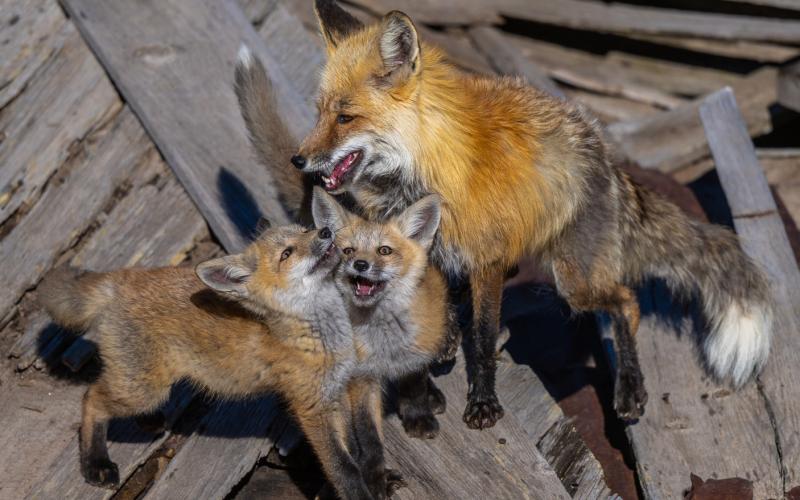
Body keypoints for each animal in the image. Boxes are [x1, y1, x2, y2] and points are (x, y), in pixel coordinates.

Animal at [39, 223, 389, 499]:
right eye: (287, 254)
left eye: (305, 230)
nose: (326, 230)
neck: (321, 335)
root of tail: (121, 278)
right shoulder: (312, 408)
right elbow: (343, 467)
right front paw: (359, 494)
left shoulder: (335, 394)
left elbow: (353, 452)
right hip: (143, 389)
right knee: (91, 399)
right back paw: (95, 463)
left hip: (142, 383)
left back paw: (147, 421)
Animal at [236, 1, 773, 429]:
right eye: (320, 112)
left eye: (346, 117)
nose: (299, 161)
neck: (428, 172)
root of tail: (606, 159)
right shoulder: (427, 247)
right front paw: (440, 349)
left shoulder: (487, 260)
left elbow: (483, 337)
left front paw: (483, 403)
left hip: (573, 280)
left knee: (626, 302)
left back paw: (630, 388)